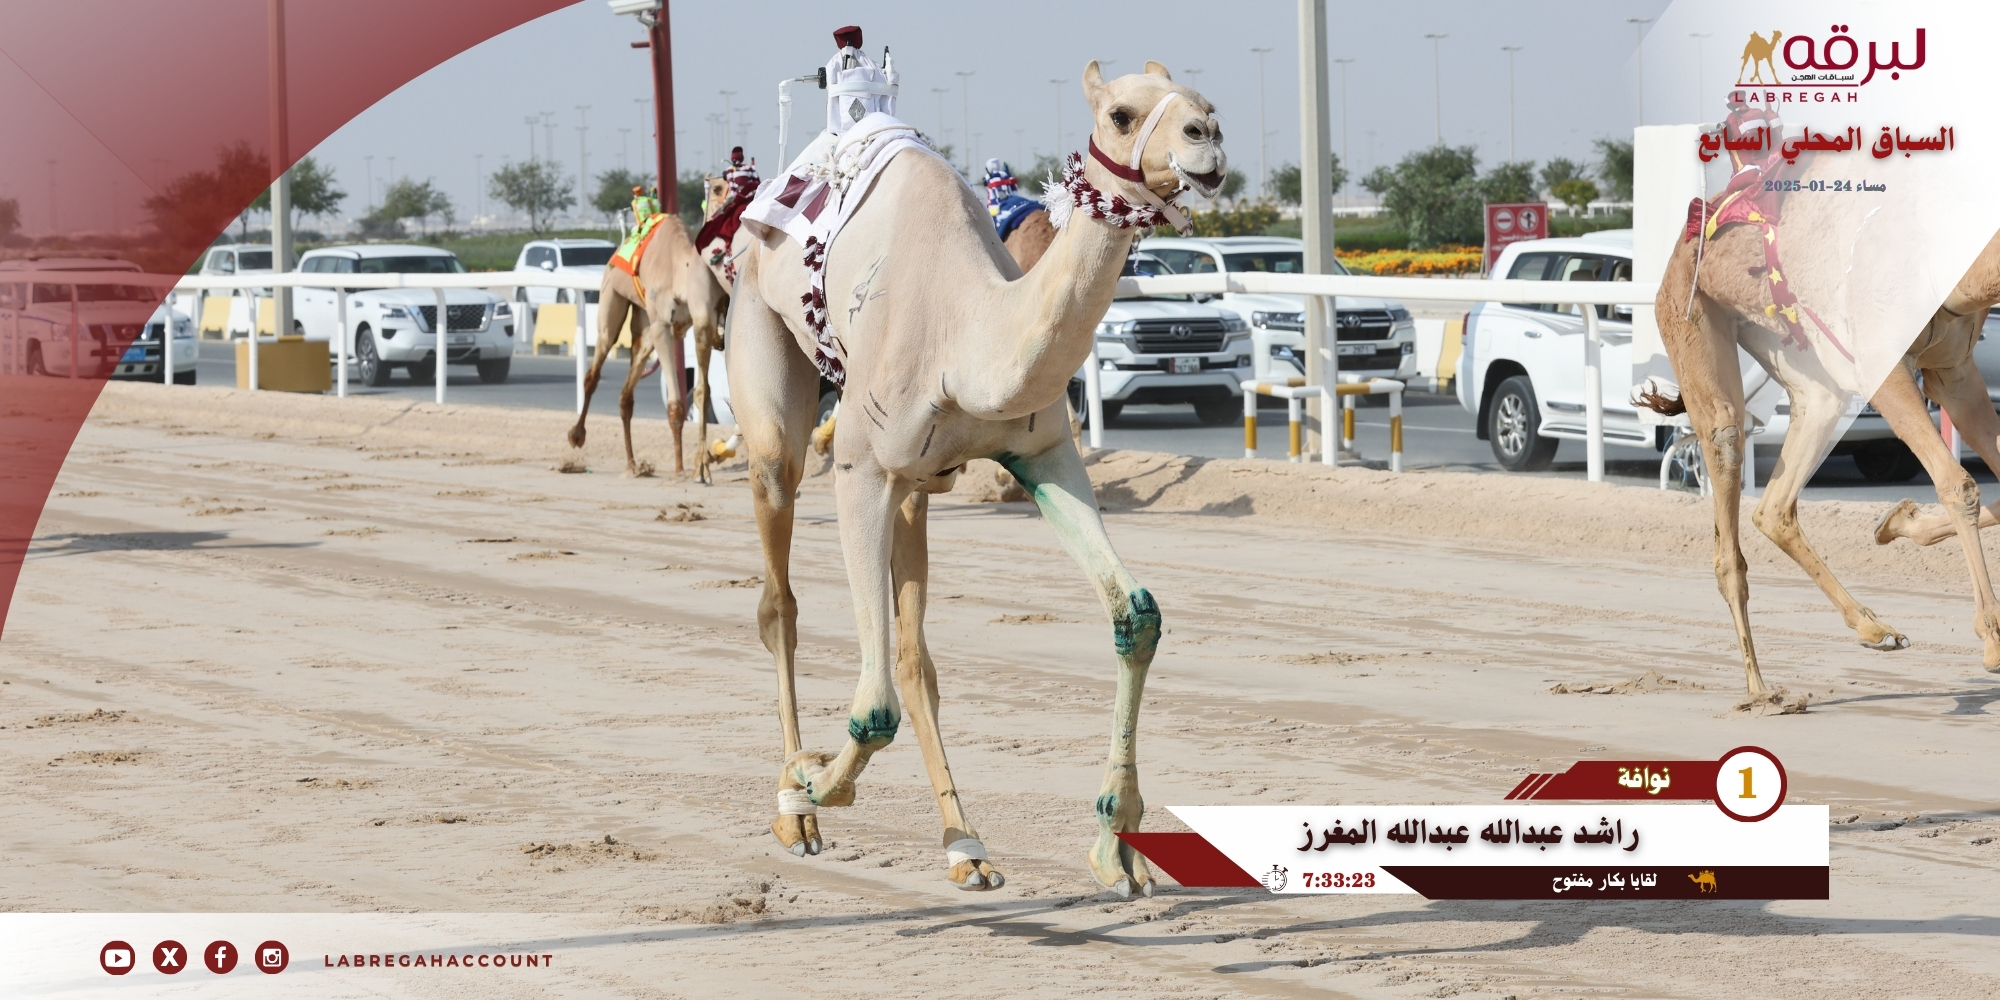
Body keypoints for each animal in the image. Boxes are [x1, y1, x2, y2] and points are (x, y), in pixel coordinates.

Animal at [566, 213, 731, 482]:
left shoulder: (696, 321)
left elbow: (702, 394)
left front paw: (701, 467)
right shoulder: (663, 325)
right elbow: (676, 404)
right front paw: (680, 468)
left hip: (644, 324)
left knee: (627, 392)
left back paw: (633, 465)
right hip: (613, 300)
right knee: (596, 367)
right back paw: (576, 436)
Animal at [730, 60, 1224, 895]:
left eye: (1204, 103)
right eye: (1121, 115)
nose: (1207, 141)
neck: (965, 337)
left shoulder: (1044, 454)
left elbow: (1136, 615)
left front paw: (1117, 844)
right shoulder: (861, 468)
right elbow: (872, 708)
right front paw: (814, 782)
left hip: (917, 490)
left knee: (911, 655)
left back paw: (966, 846)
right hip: (766, 376)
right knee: (779, 599)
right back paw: (795, 807)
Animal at [1650, 155, 2000, 702]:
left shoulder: (1954, 370)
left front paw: (1896, 522)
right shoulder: (1884, 366)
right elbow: (1958, 484)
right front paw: (1992, 643)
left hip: (1808, 372)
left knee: (1774, 507)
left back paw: (1876, 629)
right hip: (1690, 317)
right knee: (1727, 478)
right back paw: (1761, 690)